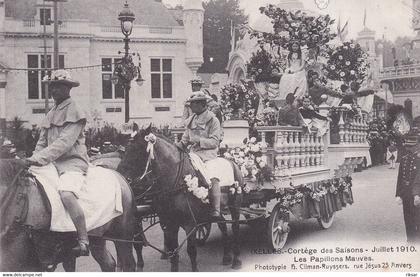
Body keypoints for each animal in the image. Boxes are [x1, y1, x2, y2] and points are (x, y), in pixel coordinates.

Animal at [116, 125, 244, 272]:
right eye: (126, 149)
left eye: (137, 150)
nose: (121, 178)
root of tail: (232, 162)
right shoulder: (169, 222)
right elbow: (173, 251)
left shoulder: (190, 224)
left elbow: (191, 250)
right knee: (222, 225)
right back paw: (227, 256)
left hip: (235, 206)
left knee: (235, 228)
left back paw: (236, 259)